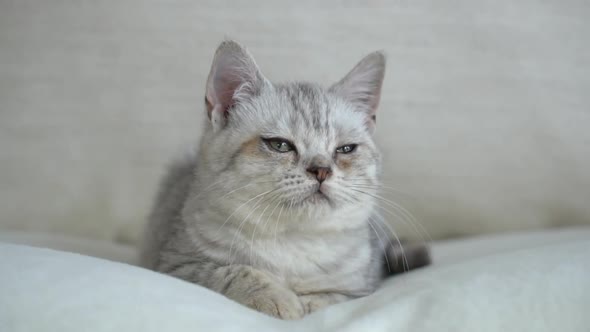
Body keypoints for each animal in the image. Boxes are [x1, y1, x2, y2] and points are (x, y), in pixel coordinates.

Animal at [141, 40, 432, 320]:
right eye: (280, 145)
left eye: (345, 149)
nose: (321, 170)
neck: (293, 241)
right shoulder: (177, 266)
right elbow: (234, 271)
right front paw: (277, 298)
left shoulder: (362, 283)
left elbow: (333, 296)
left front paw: (310, 303)